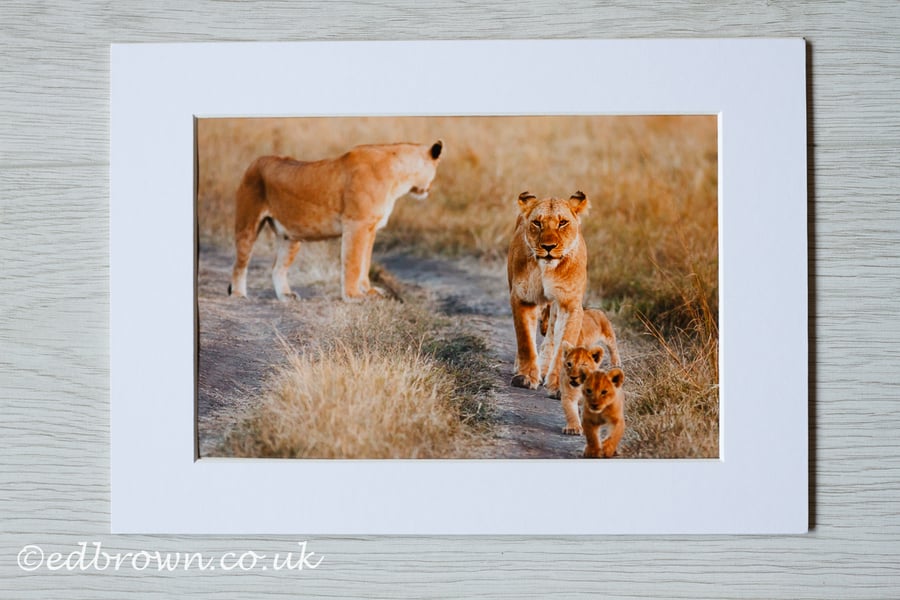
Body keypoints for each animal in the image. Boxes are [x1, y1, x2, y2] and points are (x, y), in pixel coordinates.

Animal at [228, 140, 443, 302]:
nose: (429, 189)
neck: (400, 177)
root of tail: (256, 161)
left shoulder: (371, 228)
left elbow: (365, 262)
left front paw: (369, 291)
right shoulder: (356, 224)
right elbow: (353, 262)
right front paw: (354, 297)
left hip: (290, 237)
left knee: (277, 268)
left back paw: (286, 296)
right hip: (247, 225)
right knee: (240, 265)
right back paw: (239, 295)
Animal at [507, 191, 589, 393]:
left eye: (563, 222)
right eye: (537, 223)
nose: (548, 247)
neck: (547, 268)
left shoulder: (570, 304)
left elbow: (564, 343)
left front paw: (559, 385)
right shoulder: (523, 298)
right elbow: (525, 340)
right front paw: (525, 377)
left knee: (551, 333)